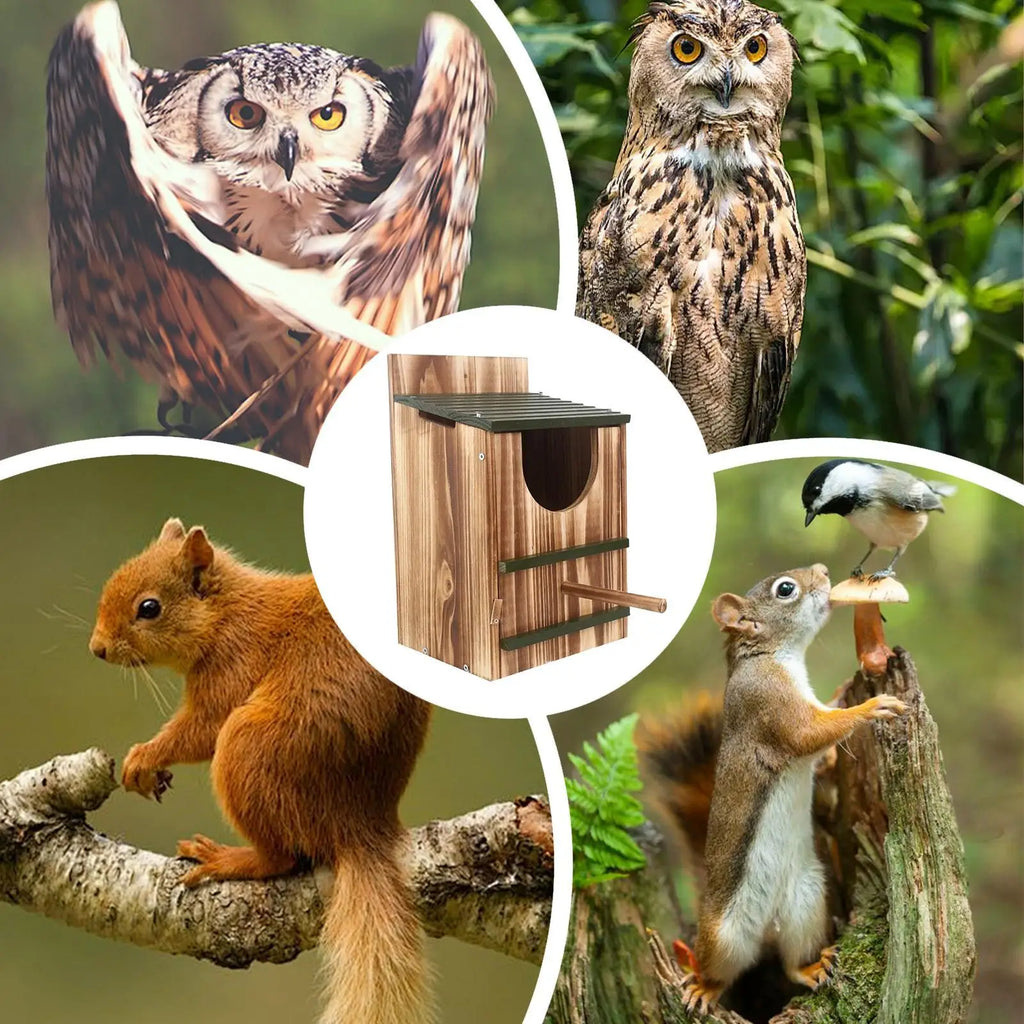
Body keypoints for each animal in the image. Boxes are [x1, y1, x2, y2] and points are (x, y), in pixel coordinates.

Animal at [88, 518, 433, 1024]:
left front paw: (145, 757)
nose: (97, 649)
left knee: (282, 858)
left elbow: (202, 729)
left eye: (148, 608)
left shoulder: (233, 663)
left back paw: (226, 859)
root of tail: (362, 822)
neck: (226, 614)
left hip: (249, 750)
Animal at [639, 564, 908, 1015]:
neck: (771, 656)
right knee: (720, 971)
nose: (824, 571)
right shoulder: (771, 706)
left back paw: (812, 967)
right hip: (724, 936)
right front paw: (872, 707)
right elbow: (811, 734)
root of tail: (767, 927)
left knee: (790, 963)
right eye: (786, 589)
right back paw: (703, 987)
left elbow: (821, 748)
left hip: (807, 904)